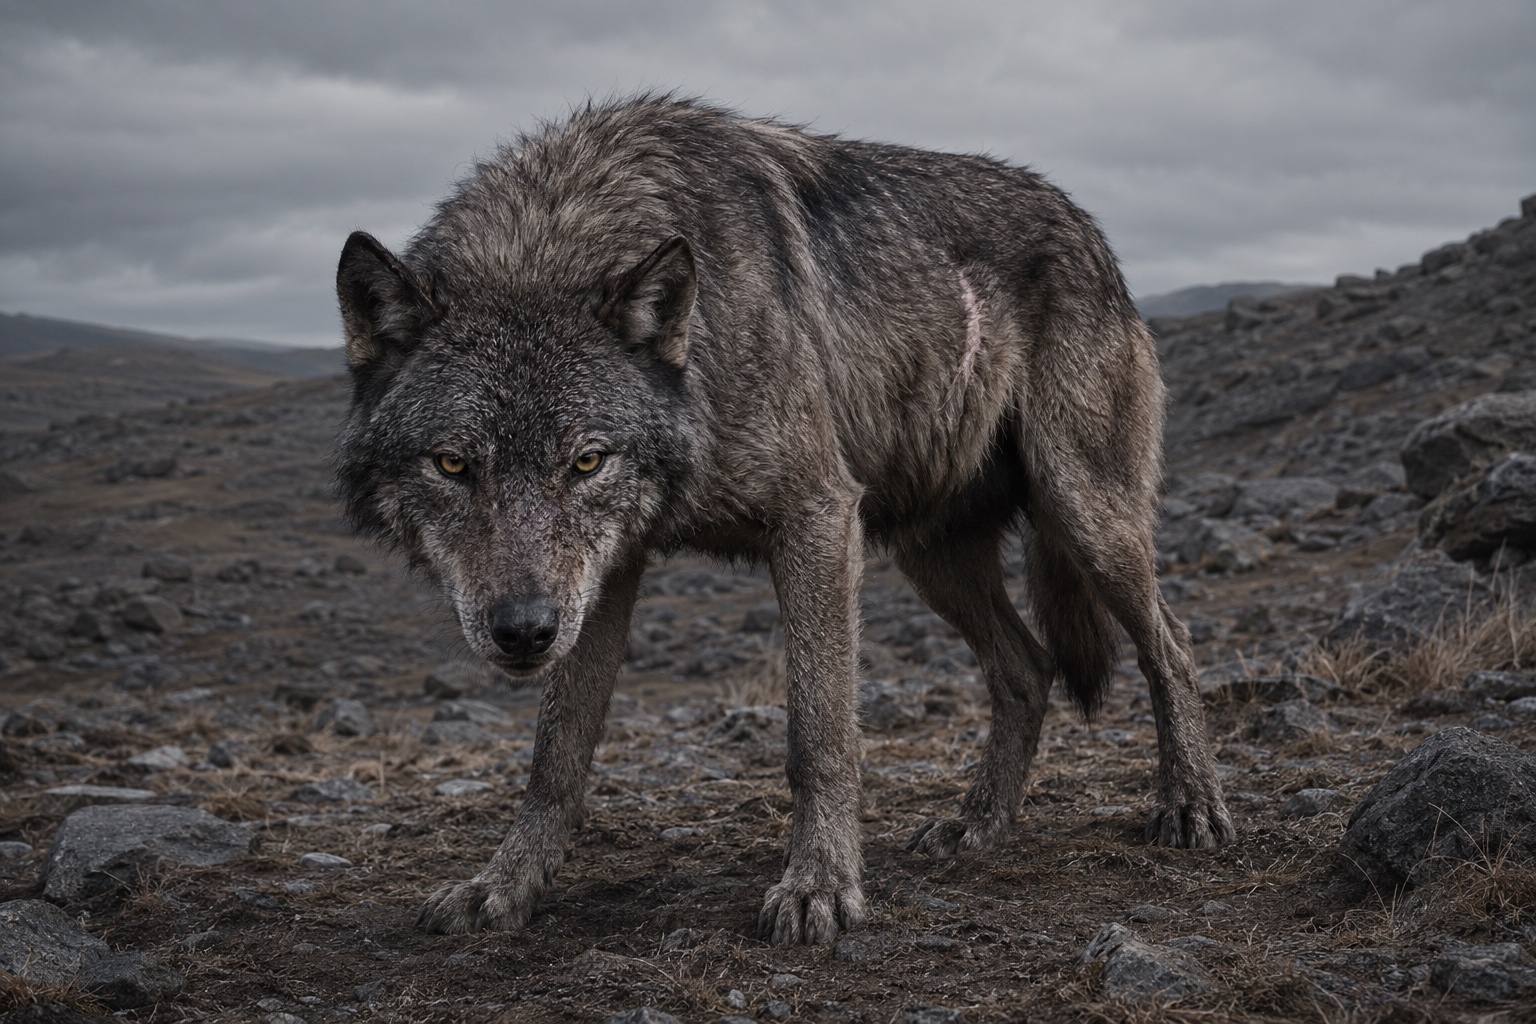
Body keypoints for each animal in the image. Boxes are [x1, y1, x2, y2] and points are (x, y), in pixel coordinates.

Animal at [334, 95, 1232, 946]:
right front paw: (505, 886)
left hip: (1083, 512)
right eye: (453, 465)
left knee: (1171, 641)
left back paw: (1190, 805)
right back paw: (979, 823)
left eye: (585, 462)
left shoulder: (817, 517)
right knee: (1026, 666)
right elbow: (557, 755)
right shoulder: (605, 576)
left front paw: (820, 887)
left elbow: (818, 735)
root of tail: (1083, 221)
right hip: (930, 554)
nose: (523, 631)